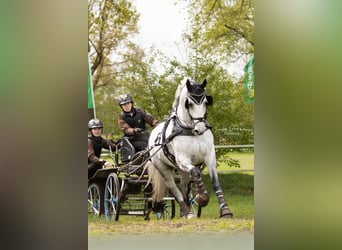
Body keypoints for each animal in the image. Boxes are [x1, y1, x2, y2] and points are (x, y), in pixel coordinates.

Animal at [146, 78, 232, 219]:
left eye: (206, 102)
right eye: (189, 104)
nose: (200, 128)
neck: (189, 130)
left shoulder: (210, 157)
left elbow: (215, 182)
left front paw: (225, 211)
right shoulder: (183, 160)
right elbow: (196, 173)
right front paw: (202, 197)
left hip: (182, 171)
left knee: (183, 187)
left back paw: (185, 212)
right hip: (164, 169)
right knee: (175, 191)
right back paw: (188, 213)